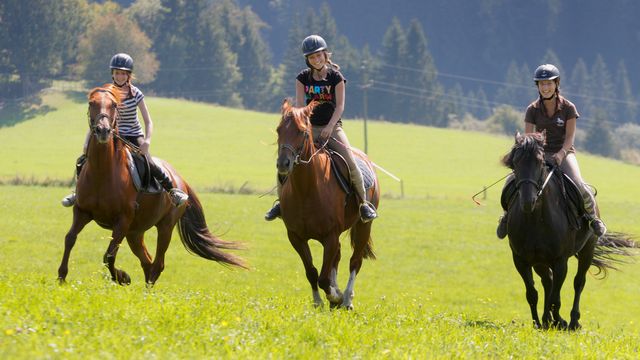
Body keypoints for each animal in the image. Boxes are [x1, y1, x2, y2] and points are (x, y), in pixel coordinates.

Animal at [57, 86, 245, 286]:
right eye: (91, 103)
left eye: (114, 105)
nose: (103, 130)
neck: (102, 171)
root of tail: (181, 180)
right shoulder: (82, 211)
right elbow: (70, 239)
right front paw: (61, 277)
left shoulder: (122, 221)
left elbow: (109, 255)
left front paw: (122, 277)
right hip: (135, 232)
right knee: (147, 262)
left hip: (165, 227)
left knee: (157, 264)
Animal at [276, 100, 380, 310]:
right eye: (278, 130)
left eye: (301, 131)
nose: (283, 163)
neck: (306, 190)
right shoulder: (296, 237)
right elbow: (312, 272)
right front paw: (319, 302)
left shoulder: (330, 236)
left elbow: (324, 277)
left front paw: (335, 296)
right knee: (337, 258)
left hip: (363, 226)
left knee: (355, 261)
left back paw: (347, 299)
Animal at [504, 132, 636, 330]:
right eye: (515, 162)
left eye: (539, 162)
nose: (528, 201)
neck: (535, 218)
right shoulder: (520, 260)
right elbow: (532, 294)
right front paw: (539, 323)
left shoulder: (560, 261)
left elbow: (556, 298)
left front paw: (558, 321)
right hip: (540, 261)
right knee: (548, 281)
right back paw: (548, 320)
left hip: (587, 250)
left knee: (578, 282)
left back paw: (573, 321)